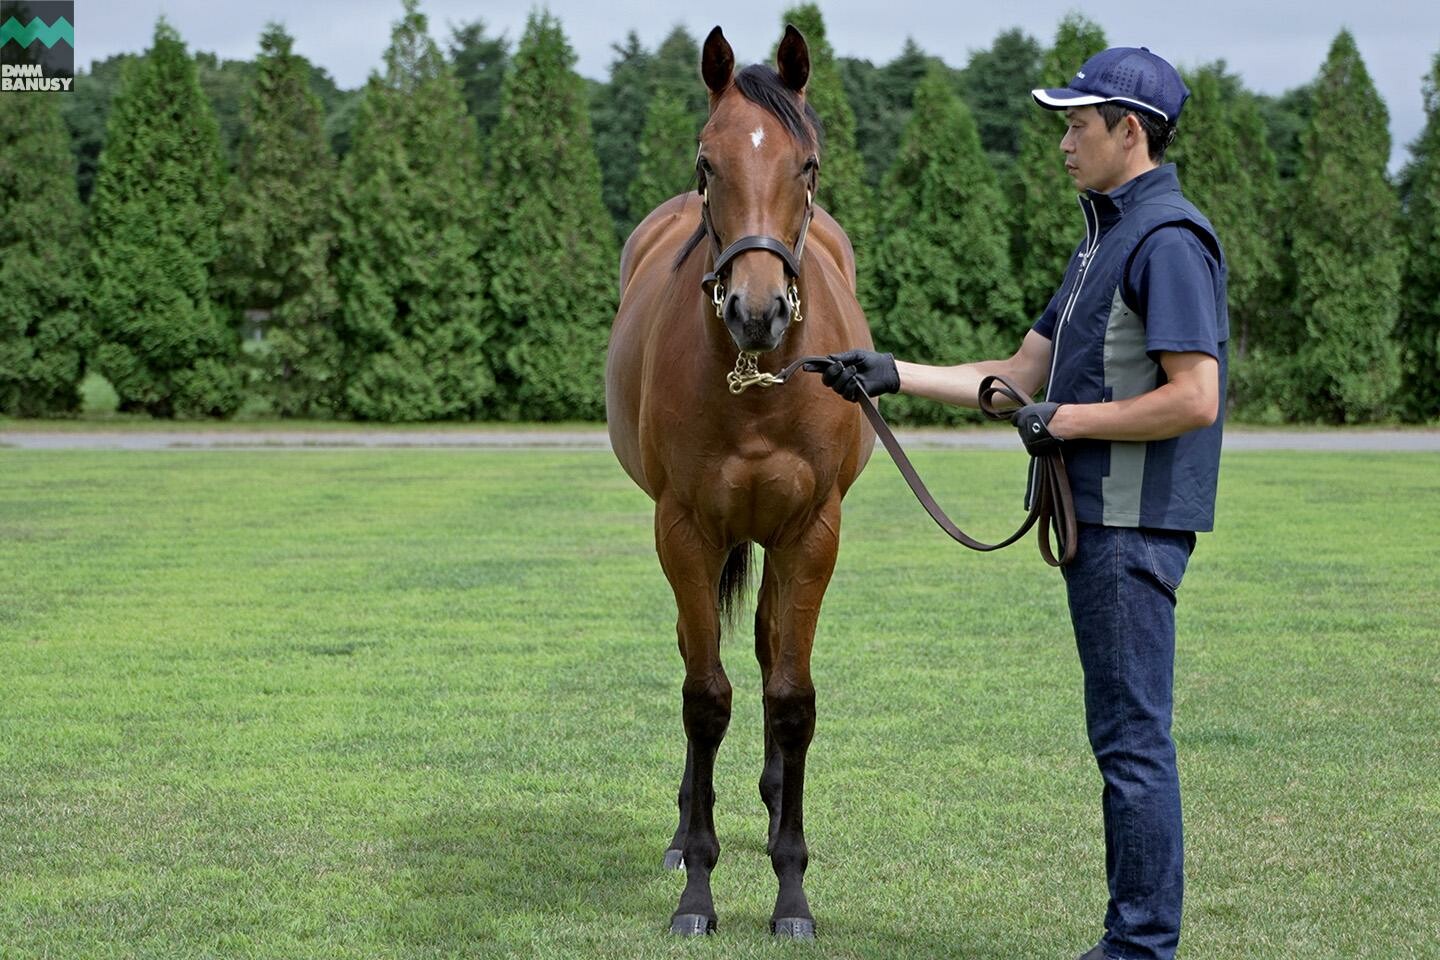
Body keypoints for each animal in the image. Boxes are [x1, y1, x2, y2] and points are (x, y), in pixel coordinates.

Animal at [601, 22, 869, 938]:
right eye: (706, 162)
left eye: (808, 164)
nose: (759, 311)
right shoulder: (685, 530)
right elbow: (703, 697)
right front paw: (697, 885)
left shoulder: (812, 532)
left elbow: (791, 697)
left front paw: (792, 889)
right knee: (703, 656)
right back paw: (688, 827)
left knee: (765, 650)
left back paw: (775, 794)